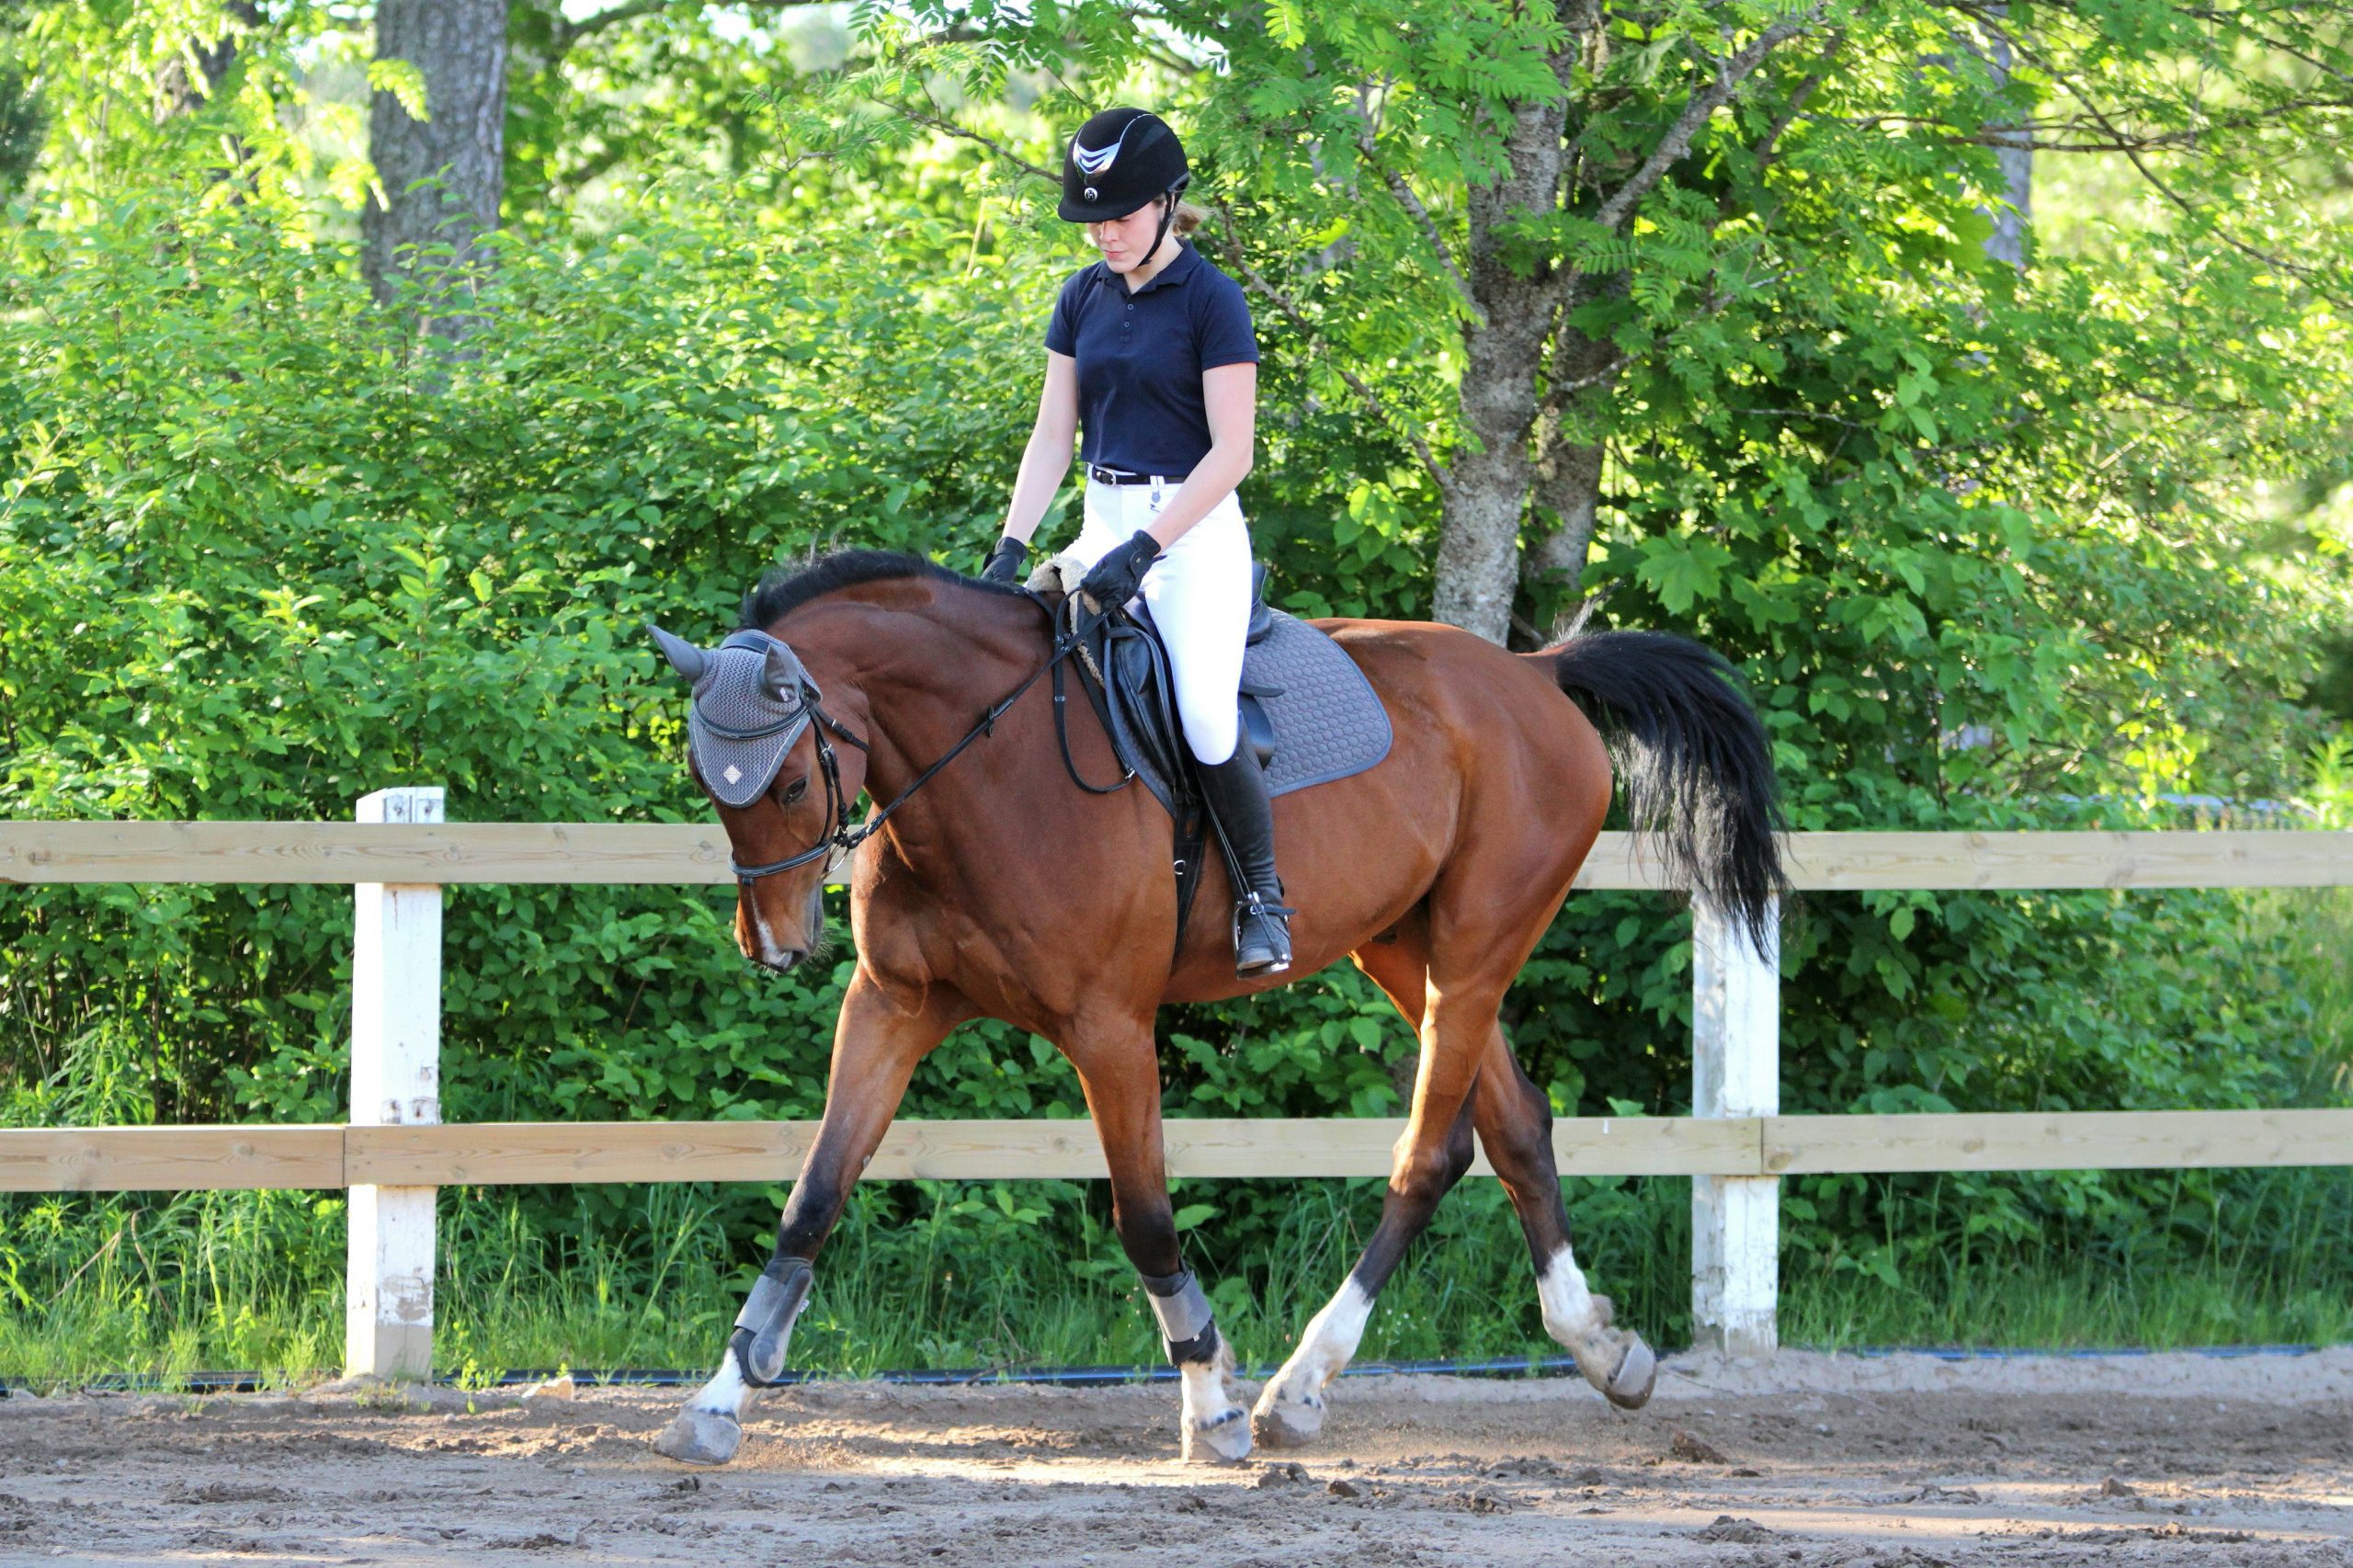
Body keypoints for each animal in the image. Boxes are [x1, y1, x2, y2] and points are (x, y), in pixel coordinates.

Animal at [644, 549, 1784, 1466]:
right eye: (708, 779)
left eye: (791, 783)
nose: (774, 943)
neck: (987, 765)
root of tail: (1534, 673)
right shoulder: (892, 1006)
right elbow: (813, 1198)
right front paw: (717, 1400)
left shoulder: (1109, 1027)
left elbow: (1146, 1215)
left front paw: (1211, 1400)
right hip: (1406, 947)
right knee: (1511, 1126)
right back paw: (1599, 1346)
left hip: (1474, 948)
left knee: (1428, 1152)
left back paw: (1299, 1385)